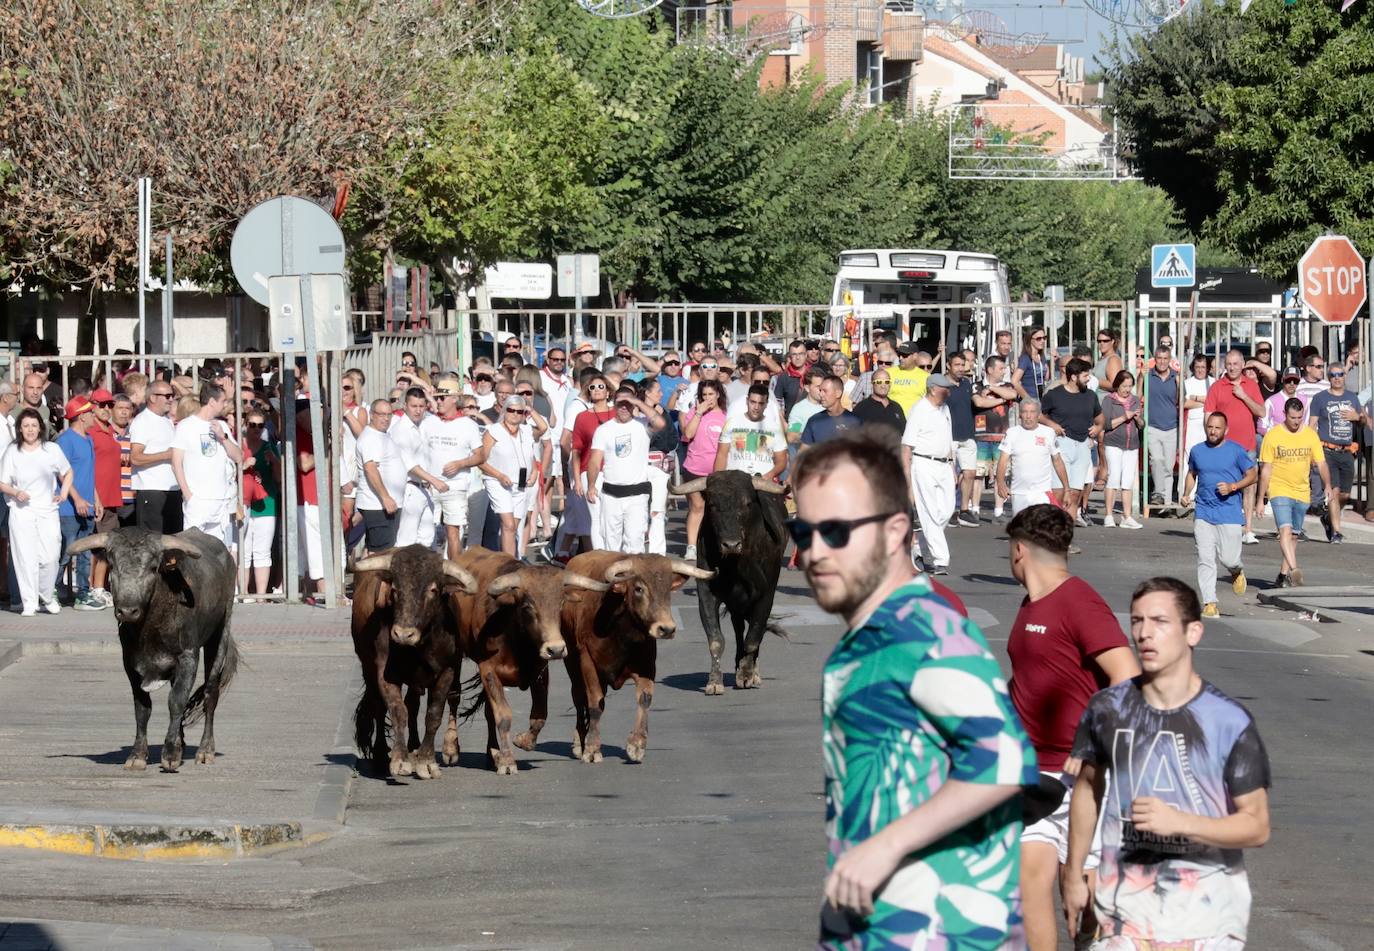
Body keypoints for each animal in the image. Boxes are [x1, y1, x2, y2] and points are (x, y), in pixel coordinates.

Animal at [63, 527, 241, 775]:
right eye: (113, 564)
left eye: (153, 567)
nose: (128, 611)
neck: (150, 626)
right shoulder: (130, 663)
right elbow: (142, 708)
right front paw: (138, 755)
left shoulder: (188, 656)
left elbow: (176, 700)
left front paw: (170, 755)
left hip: (220, 634)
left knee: (210, 693)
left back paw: (205, 751)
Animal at [348, 546, 478, 775]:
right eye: (394, 589)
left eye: (433, 590)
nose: (402, 634)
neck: (420, 647)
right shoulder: (385, 673)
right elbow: (398, 710)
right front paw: (400, 759)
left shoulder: (448, 670)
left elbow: (434, 714)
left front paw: (426, 761)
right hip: (368, 667)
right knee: (380, 706)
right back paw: (383, 754)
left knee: (448, 698)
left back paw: (442, 748)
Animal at [447, 546, 610, 775]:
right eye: (528, 607)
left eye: (560, 604)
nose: (556, 649)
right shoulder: (488, 670)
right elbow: (503, 715)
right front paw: (507, 761)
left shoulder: (540, 672)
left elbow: (540, 714)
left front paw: (523, 741)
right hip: (455, 656)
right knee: (454, 697)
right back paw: (451, 749)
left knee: (488, 713)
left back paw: (492, 753)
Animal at [527, 552, 714, 764]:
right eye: (639, 588)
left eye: (667, 588)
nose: (666, 629)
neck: (619, 631)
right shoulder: (587, 662)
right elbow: (595, 703)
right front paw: (592, 748)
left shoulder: (647, 664)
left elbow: (645, 698)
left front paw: (637, 745)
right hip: (572, 664)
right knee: (579, 698)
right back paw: (579, 743)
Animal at [673, 472, 791, 695]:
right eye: (712, 505)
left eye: (746, 503)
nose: (731, 544)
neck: (736, 565)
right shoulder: (707, 595)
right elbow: (716, 640)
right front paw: (714, 682)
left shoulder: (765, 596)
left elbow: (753, 638)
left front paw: (746, 675)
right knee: (738, 631)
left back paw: (752, 672)